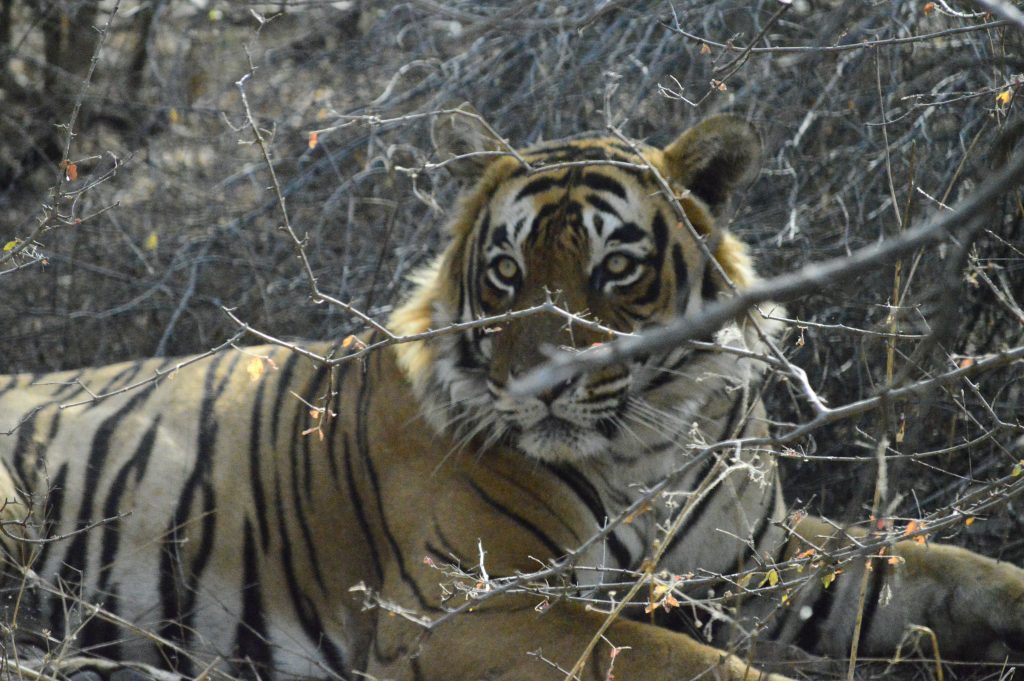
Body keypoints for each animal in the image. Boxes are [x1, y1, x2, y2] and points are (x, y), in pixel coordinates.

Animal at [2, 111, 1024, 679]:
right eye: (505, 272)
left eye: (616, 270)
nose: (542, 385)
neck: (654, 438)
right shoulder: (471, 608)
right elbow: (678, 661)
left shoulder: (766, 562)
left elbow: (942, 564)